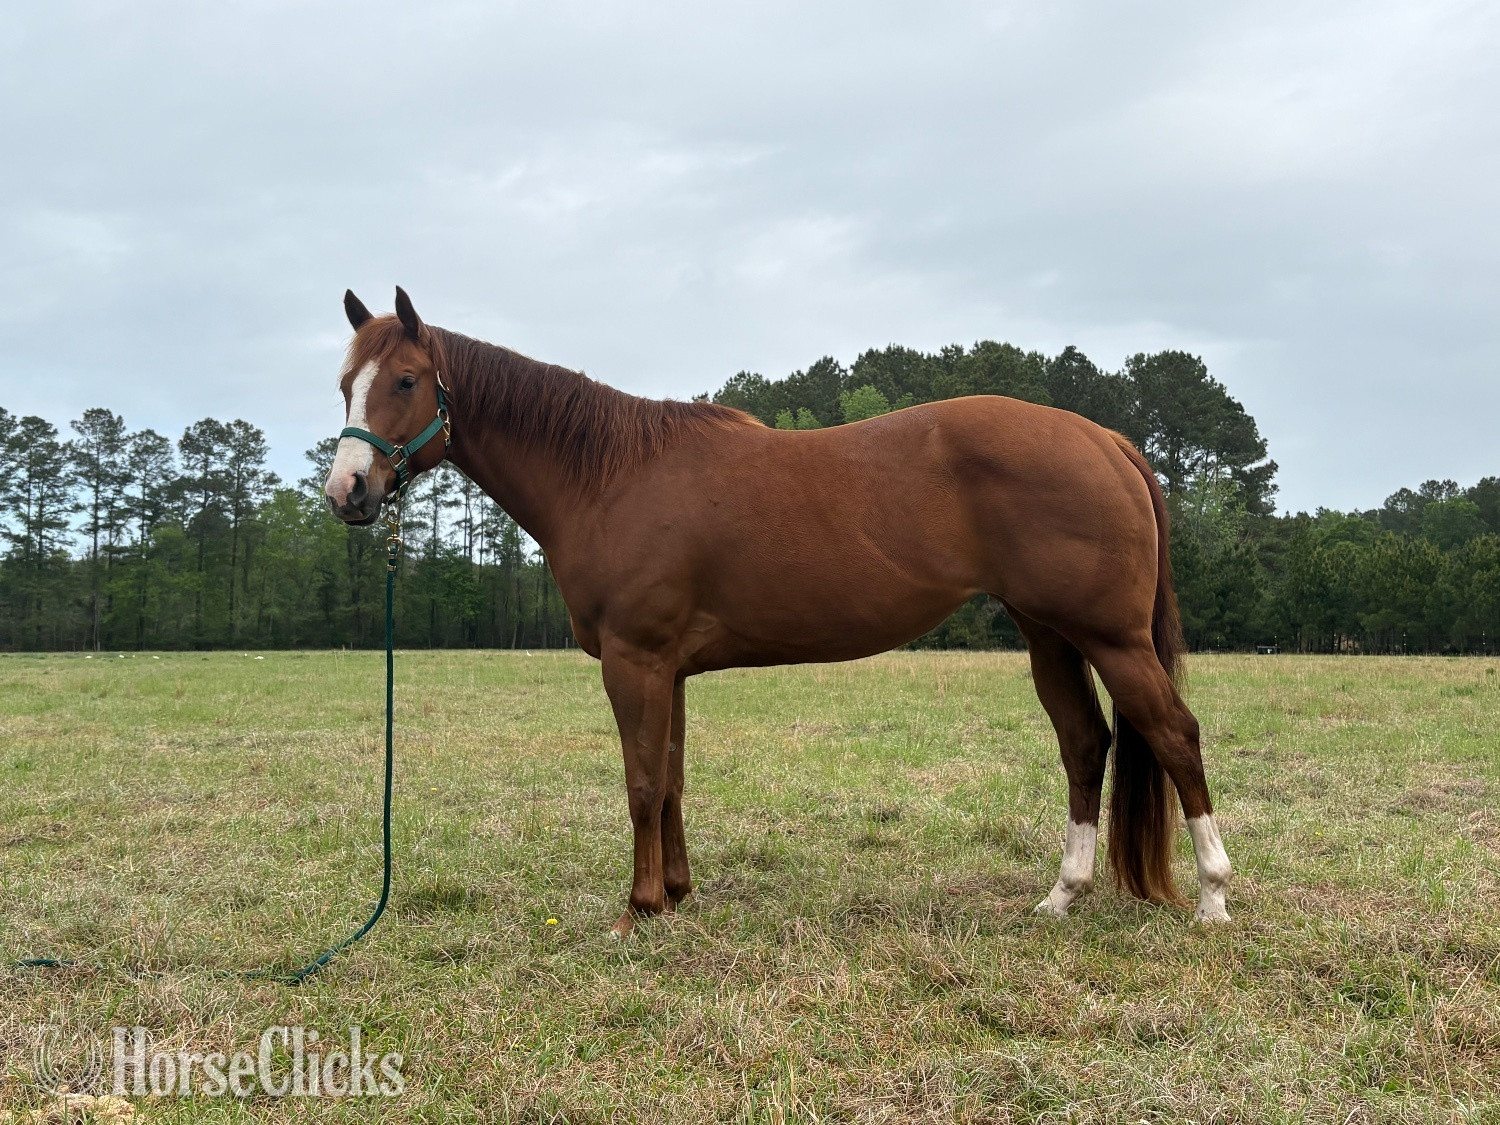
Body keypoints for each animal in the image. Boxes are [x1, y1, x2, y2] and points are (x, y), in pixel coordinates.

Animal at [324, 288, 1232, 936]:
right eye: (344, 385)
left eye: (405, 381)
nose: (348, 491)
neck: (609, 475)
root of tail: (1104, 438)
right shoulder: (668, 669)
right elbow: (672, 779)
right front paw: (676, 892)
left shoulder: (635, 660)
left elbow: (641, 780)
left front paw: (638, 908)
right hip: (1050, 635)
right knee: (1085, 744)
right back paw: (1062, 895)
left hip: (1111, 638)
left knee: (1174, 733)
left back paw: (1214, 897)